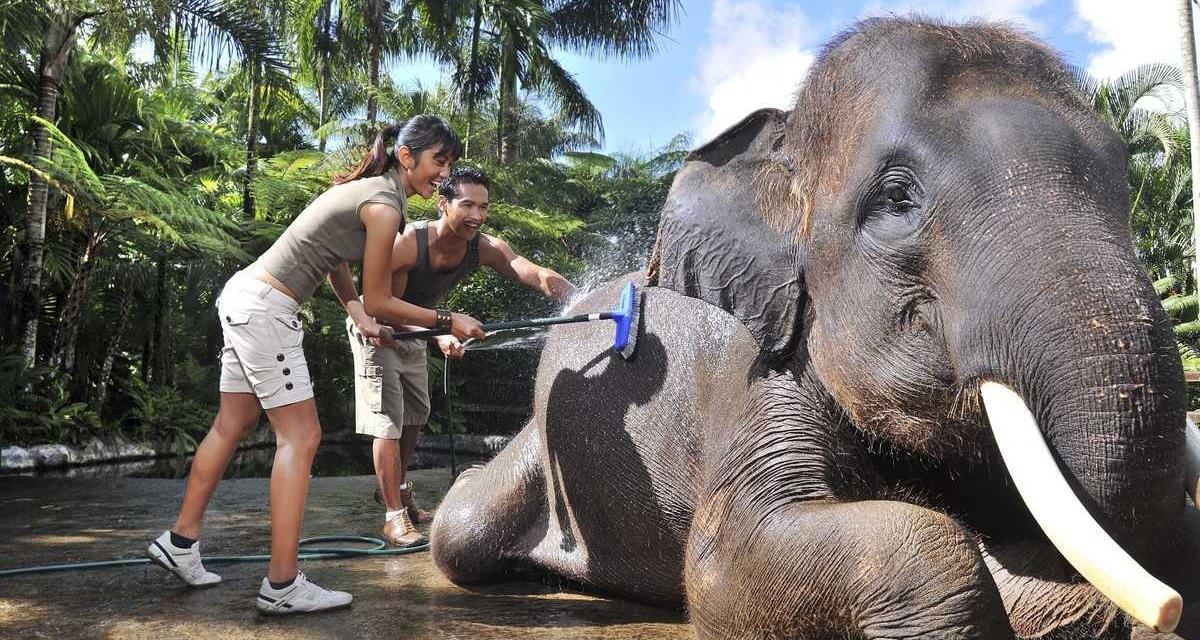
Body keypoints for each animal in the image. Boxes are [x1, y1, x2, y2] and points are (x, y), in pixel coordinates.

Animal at [430, 16, 1200, 639]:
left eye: (1124, 180)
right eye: (896, 199)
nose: (1164, 610)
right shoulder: (759, 373)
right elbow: (722, 563)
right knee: (459, 529)